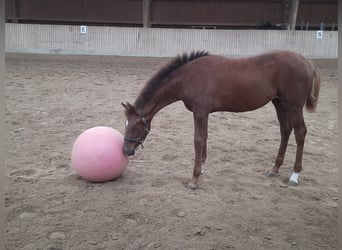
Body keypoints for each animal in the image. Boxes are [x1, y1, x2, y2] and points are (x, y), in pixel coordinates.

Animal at [121, 49, 320, 188]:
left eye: (135, 127)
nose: (126, 151)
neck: (189, 77)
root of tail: (307, 62)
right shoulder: (205, 112)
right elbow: (205, 137)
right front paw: (203, 167)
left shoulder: (200, 111)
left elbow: (198, 140)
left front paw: (194, 179)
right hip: (279, 103)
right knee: (285, 130)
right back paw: (274, 169)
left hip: (294, 105)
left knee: (300, 132)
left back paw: (294, 175)